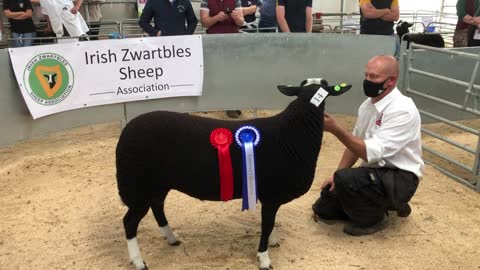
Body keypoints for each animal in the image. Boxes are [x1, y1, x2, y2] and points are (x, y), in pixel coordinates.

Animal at [114, 78, 350, 270]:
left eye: (325, 88)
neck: (292, 133)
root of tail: (126, 131)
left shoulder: (268, 195)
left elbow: (270, 222)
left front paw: (272, 241)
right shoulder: (272, 195)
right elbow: (266, 225)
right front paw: (264, 258)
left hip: (157, 183)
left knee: (157, 207)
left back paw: (172, 238)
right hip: (138, 184)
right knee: (129, 223)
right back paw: (138, 261)